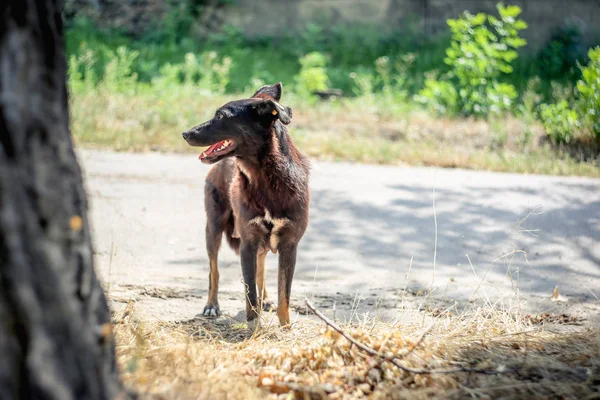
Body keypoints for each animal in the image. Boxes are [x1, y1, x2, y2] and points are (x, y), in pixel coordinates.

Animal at [182, 83, 310, 326]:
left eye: (221, 116)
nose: (185, 133)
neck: (267, 178)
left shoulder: (289, 245)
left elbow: (284, 296)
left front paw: (285, 327)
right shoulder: (248, 242)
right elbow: (249, 295)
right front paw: (253, 326)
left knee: (261, 269)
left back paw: (265, 298)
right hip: (214, 227)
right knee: (214, 271)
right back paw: (212, 305)